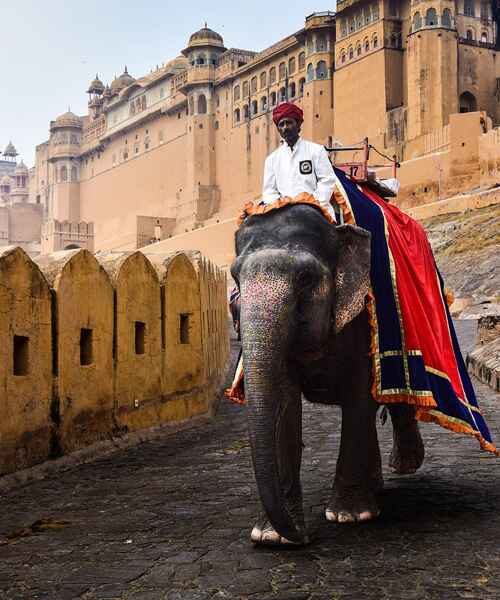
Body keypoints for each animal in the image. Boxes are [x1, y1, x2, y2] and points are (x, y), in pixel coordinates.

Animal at [229, 204, 422, 548]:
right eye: (234, 277)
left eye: (305, 278)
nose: (306, 539)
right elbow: (284, 403)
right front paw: (271, 537)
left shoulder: (363, 315)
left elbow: (360, 396)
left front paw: (350, 516)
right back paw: (376, 486)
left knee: (396, 401)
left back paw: (404, 466)